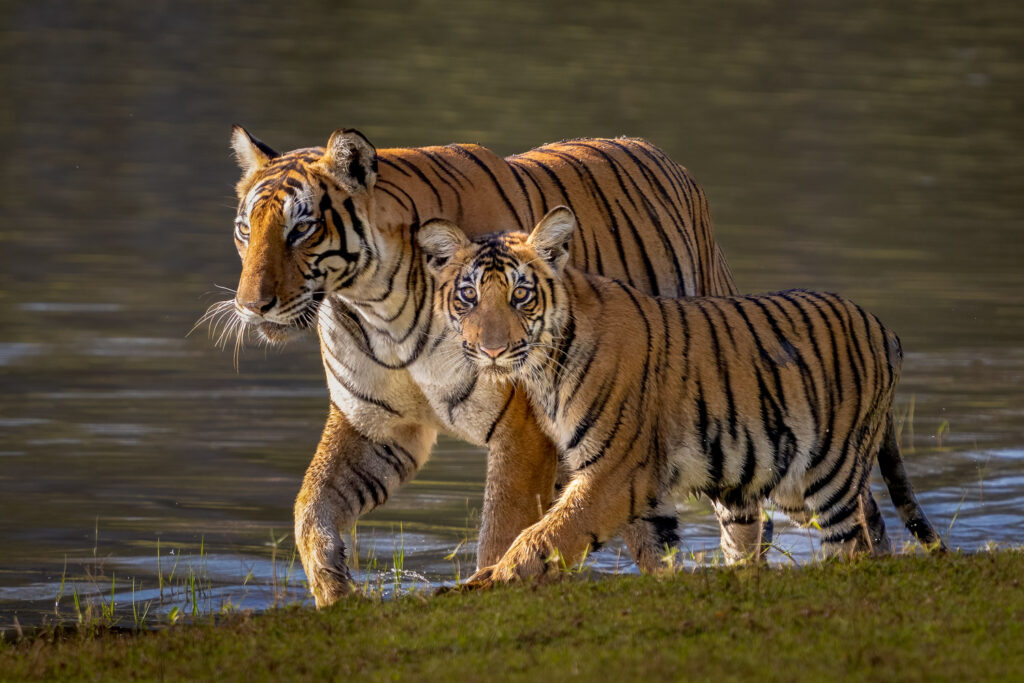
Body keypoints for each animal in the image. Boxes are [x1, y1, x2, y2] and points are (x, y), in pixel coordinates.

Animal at [216, 126, 739, 606]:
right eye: (245, 230)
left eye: (301, 229)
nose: (251, 306)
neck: (378, 305)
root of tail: (655, 151)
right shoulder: (376, 424)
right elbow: (312, 507)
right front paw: (335, 590)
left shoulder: (522, 428)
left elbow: (501, 530)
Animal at [419, 206, 946, 586]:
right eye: (468, 296)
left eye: (521, 296)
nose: (492, 350)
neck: (544, 367)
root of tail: (885, 329)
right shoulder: (641, 484)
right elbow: (656, 548)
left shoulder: (613, 472)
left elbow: (548, 532)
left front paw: (491, 577)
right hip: (785, 482)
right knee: (868, 524)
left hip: (829, 472)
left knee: (854, 540)